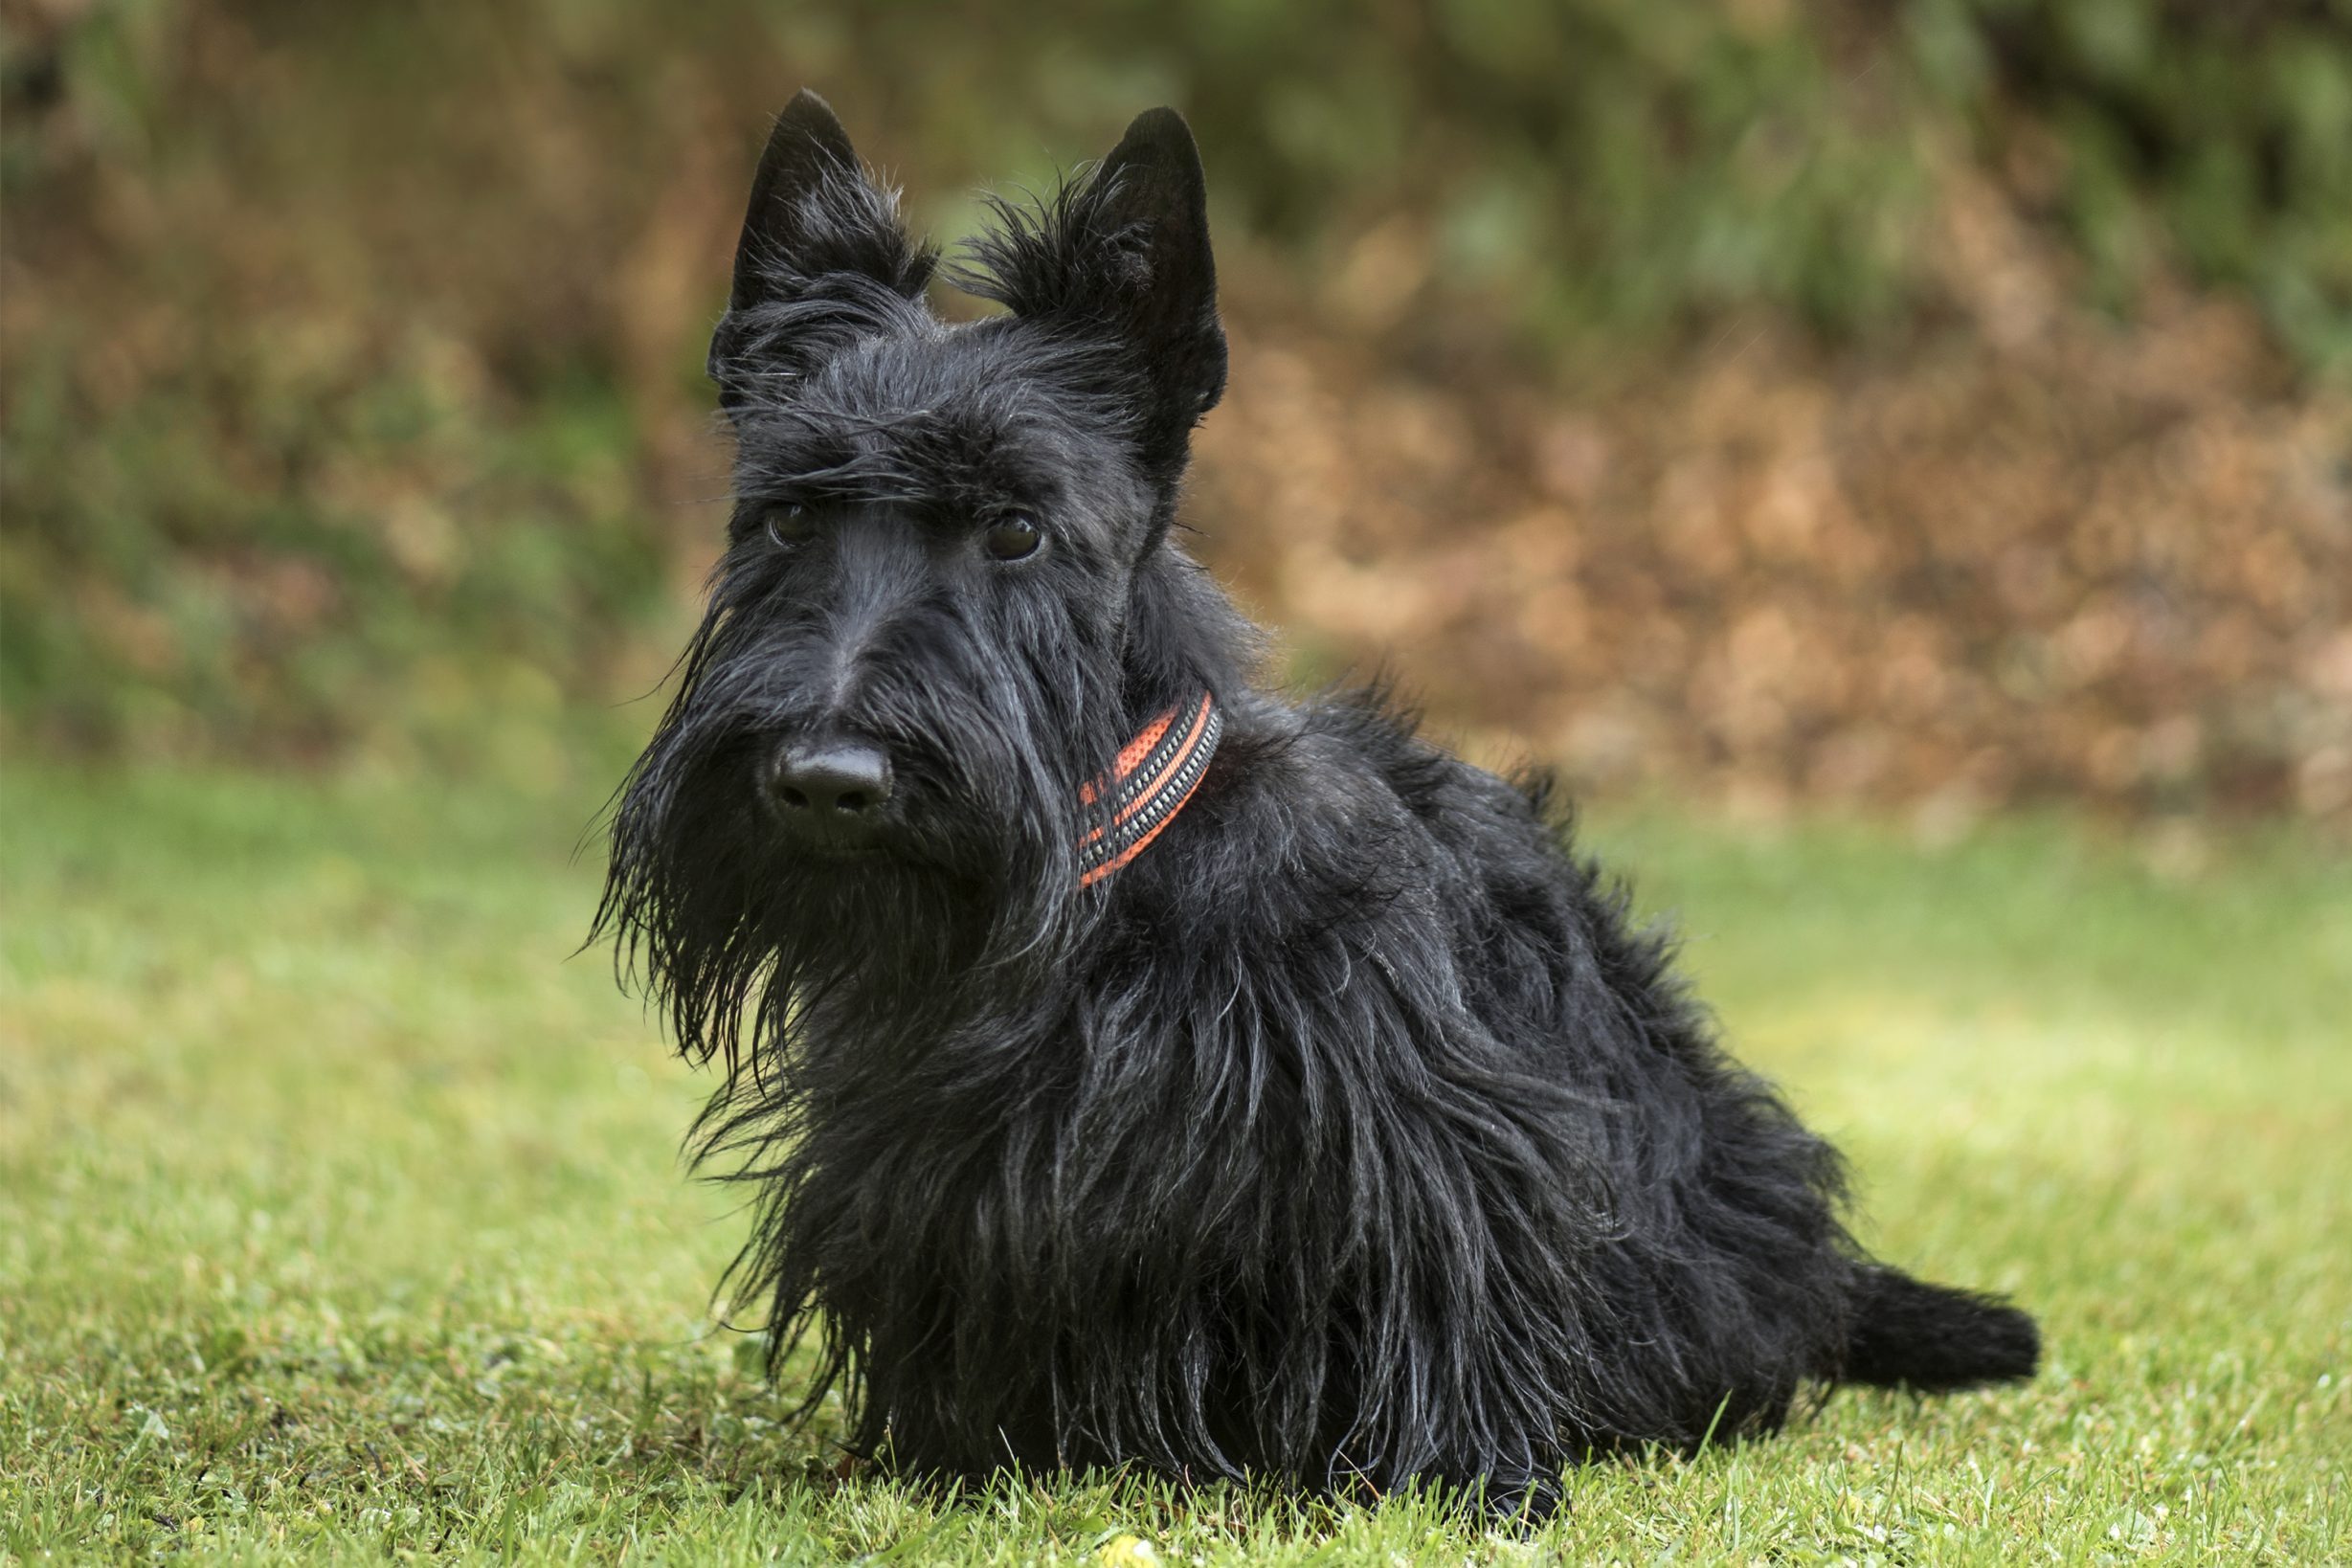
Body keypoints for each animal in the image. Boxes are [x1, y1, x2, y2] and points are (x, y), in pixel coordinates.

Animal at [601, 92, 2041, 1513]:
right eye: (789, 520)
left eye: (1016, 527)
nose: (824, 782)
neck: (1106, 886)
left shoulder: (1428, 1143)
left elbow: (1443, 1276)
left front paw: (1473, 1474)